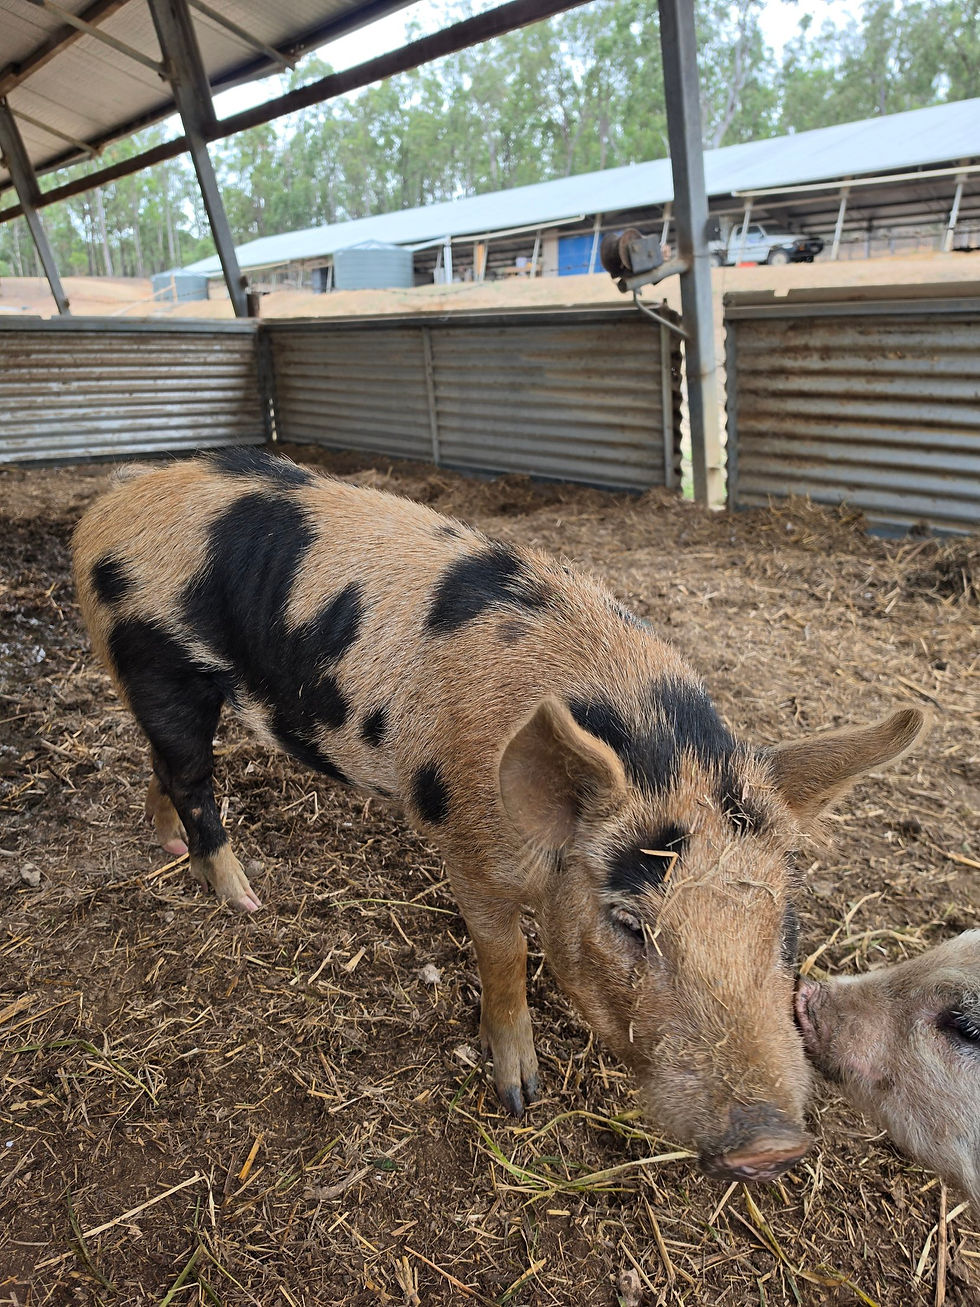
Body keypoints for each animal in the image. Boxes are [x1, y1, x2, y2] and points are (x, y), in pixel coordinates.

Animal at [72, 447, 925, 1181]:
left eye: (786, 925)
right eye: (628, 921)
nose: (773, 1144)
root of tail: (111, 500)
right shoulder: (468, 847)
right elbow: (504, 952)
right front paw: (520, 1093)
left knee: (162, 766)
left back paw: (166, 843)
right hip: (156, 662)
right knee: (192, 776)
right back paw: (242, 898)